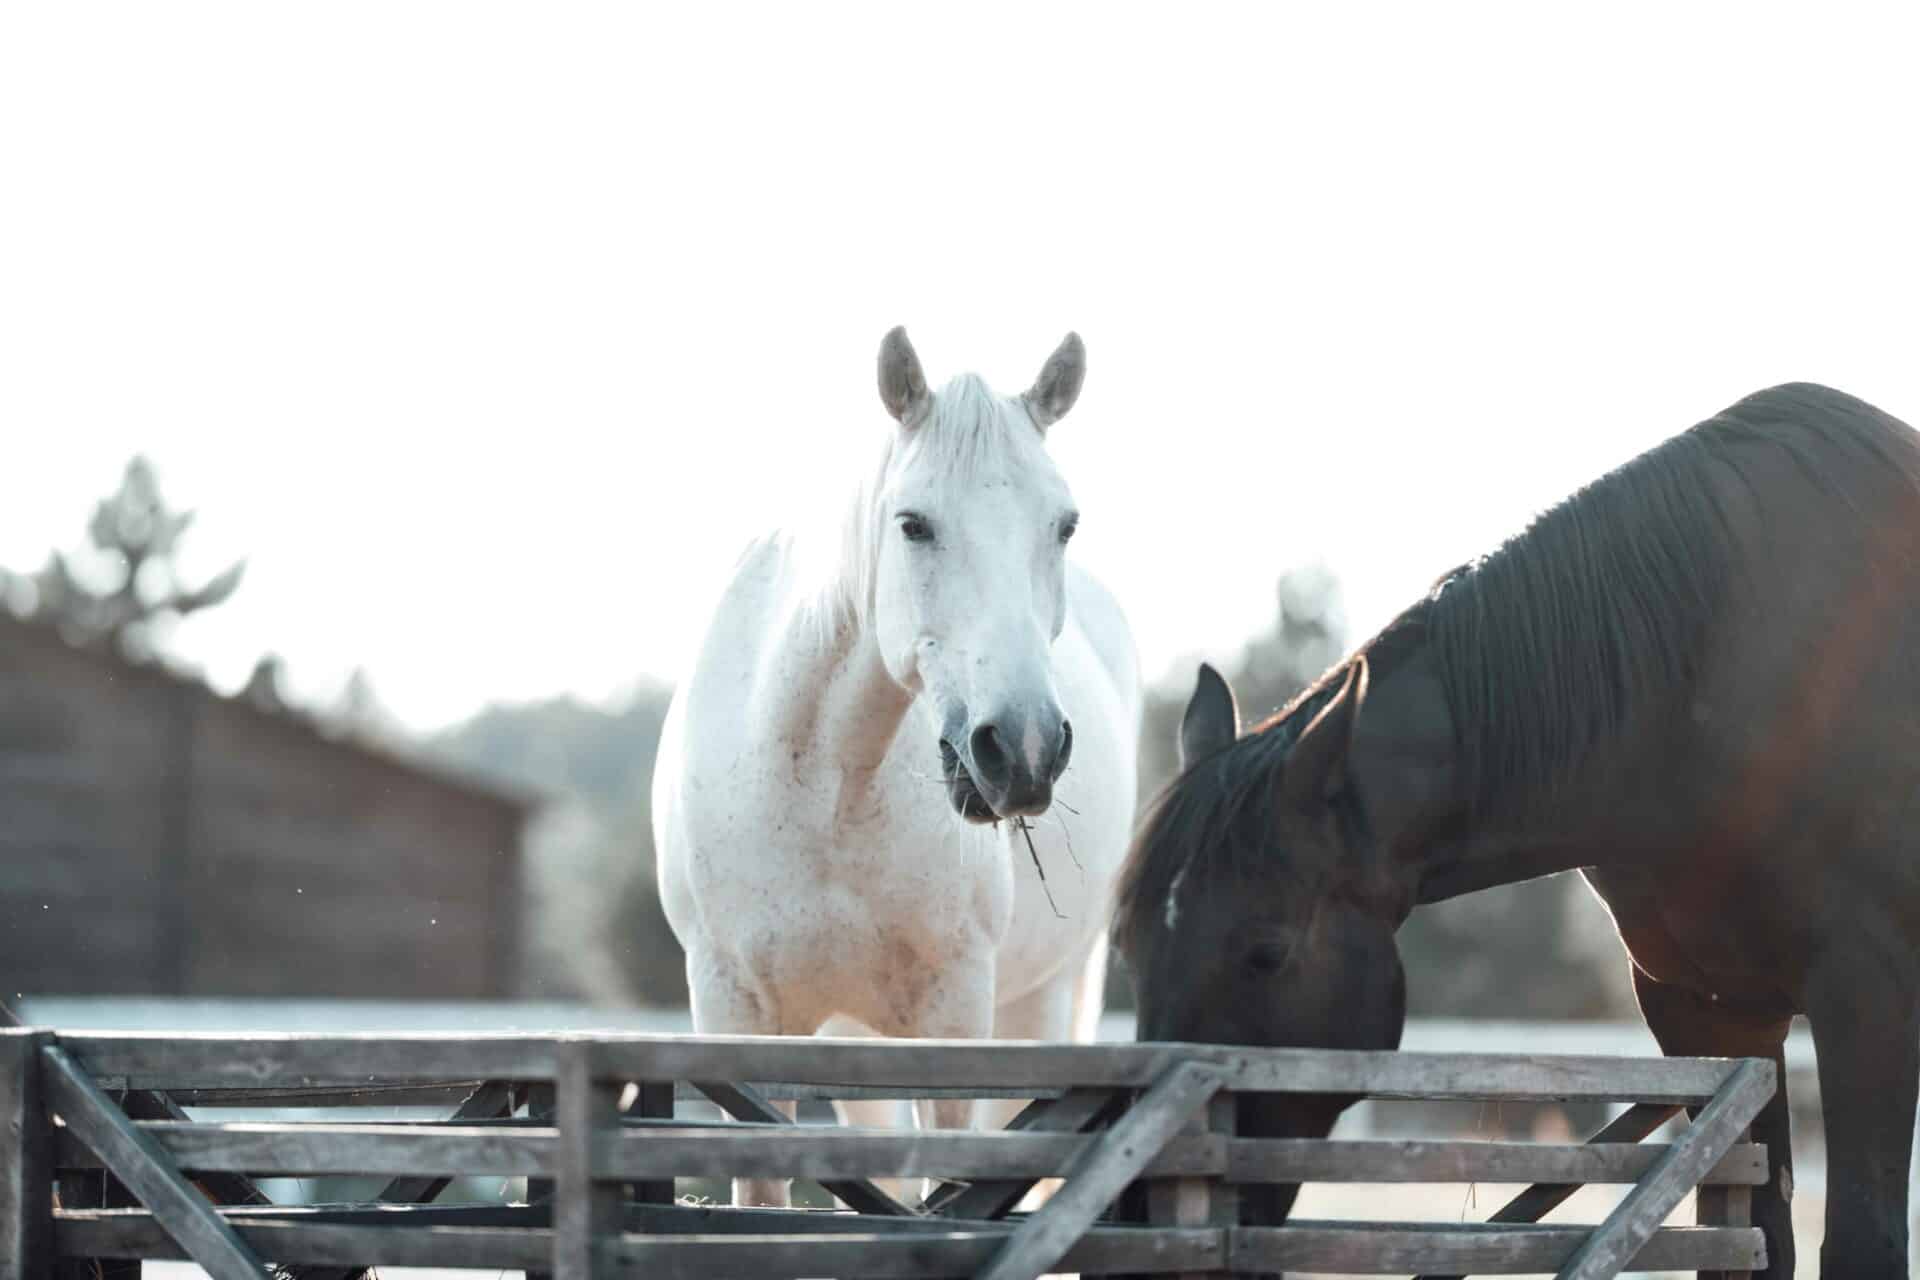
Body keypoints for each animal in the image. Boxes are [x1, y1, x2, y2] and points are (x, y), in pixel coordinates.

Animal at [654, 327, 1141, 1208]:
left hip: (1039, 1003)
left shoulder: (956, 1018)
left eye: (1064, 525)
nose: (1023, 748)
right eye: (913, 525)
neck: (824, 783)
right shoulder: (735, 1009)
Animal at [1115, 382, 1920, 1277]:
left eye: (1266, 951)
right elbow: (1755, 1237)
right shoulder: (1713, 1017)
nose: (1141, 1210)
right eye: (1130, 948)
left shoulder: (1869, 999)